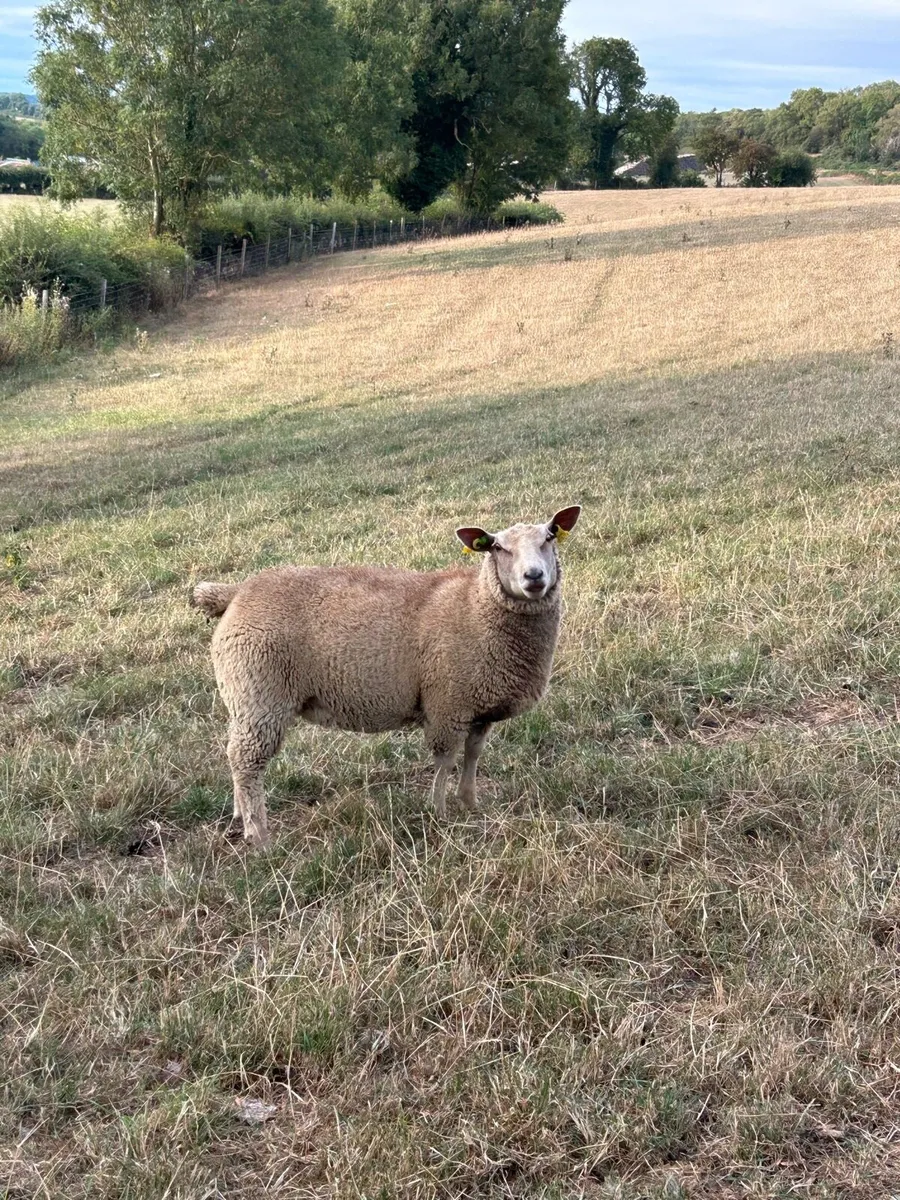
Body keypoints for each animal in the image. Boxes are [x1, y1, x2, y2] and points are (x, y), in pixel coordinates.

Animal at [192, 505, 581, 846]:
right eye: (498, 547)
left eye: (550, 536)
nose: (534, 577)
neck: (476, 603)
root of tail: (236, 593)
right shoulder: (448, 703)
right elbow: (445, 760)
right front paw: (439, 812)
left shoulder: (478, 706)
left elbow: (472, 755)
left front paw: (470, 803)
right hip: (260, 694)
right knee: (247, 763)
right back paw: (260, 838)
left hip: (244, 699)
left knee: (236, 756)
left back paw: (241, 817)